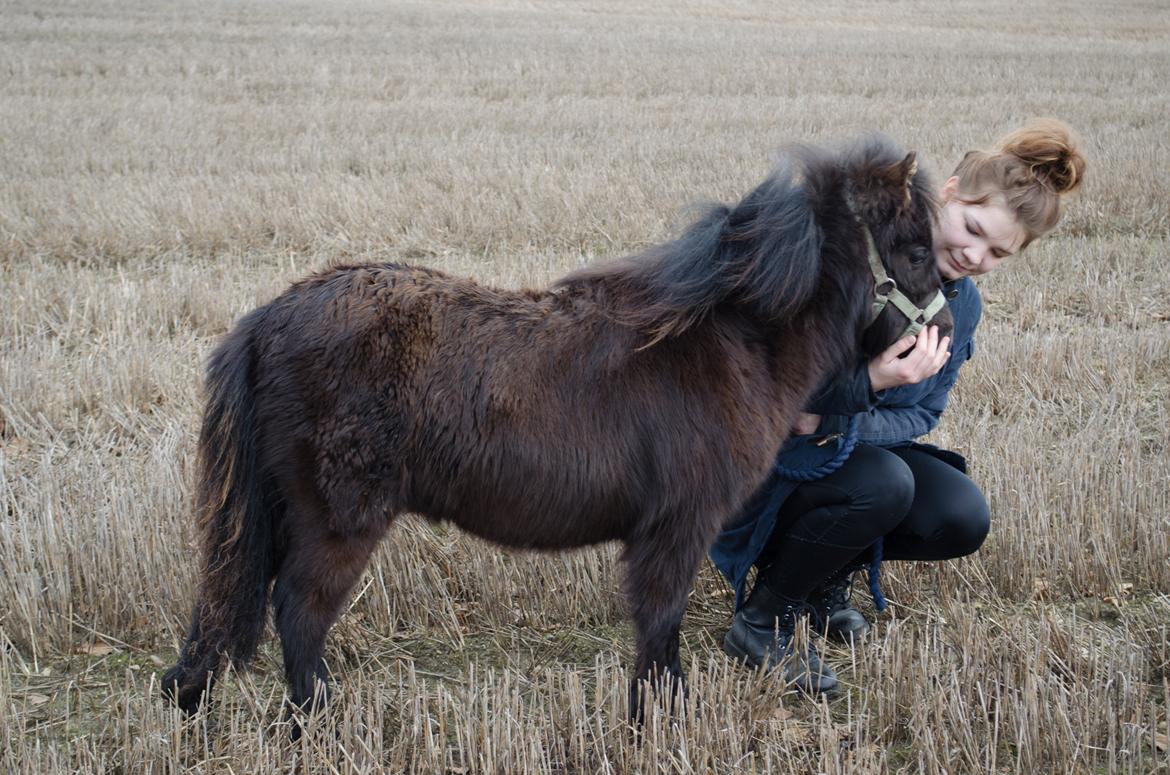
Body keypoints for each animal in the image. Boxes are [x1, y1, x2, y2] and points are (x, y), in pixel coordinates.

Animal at [162, 138, 950, 730]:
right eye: (913, 251)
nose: (944, 340)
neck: (731, 338)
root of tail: (267, 319)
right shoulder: (677, 527)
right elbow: (660, 621)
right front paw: (659, 718)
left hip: (280, 514)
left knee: (233, 595)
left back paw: (192, 693)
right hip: (336, 521)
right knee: (298, 613)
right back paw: (316, 721)